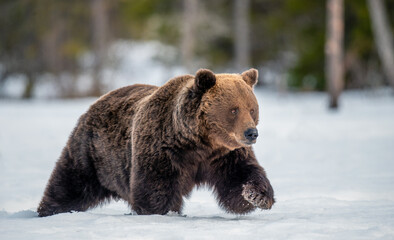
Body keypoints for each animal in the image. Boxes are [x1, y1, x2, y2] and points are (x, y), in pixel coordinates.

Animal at [37, 68, 274, 217]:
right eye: (234, 110)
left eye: (252, 109)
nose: (251, 133)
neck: (197, 143)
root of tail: (98, 100)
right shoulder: (162, 148)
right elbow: (155, 187)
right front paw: (162, 211)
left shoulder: (223, 155)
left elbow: (240, 177)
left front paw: (256, 196)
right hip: (92, 154)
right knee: (70, 183)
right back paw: (48, 210)